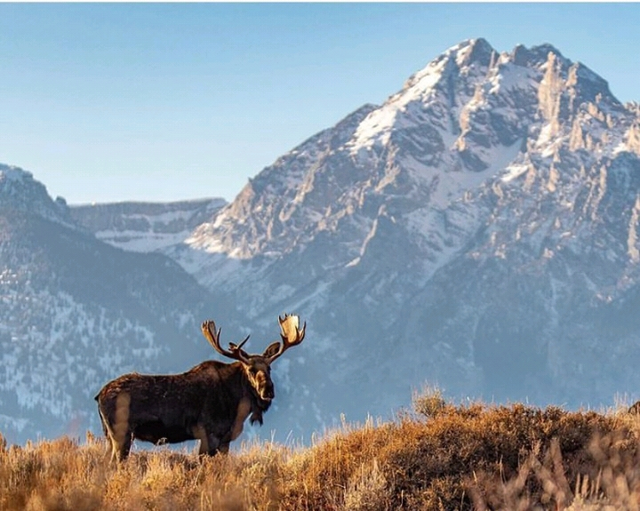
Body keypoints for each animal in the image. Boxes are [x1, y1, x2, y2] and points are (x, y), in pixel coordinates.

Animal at [94, 314, 306, 462]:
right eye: (251, 369)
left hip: (110, 436)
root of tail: (98, 396)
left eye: (269, 368)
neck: (238, 406)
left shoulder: (225, 440)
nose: (268, 390)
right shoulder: (209, 435)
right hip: (121, 434)